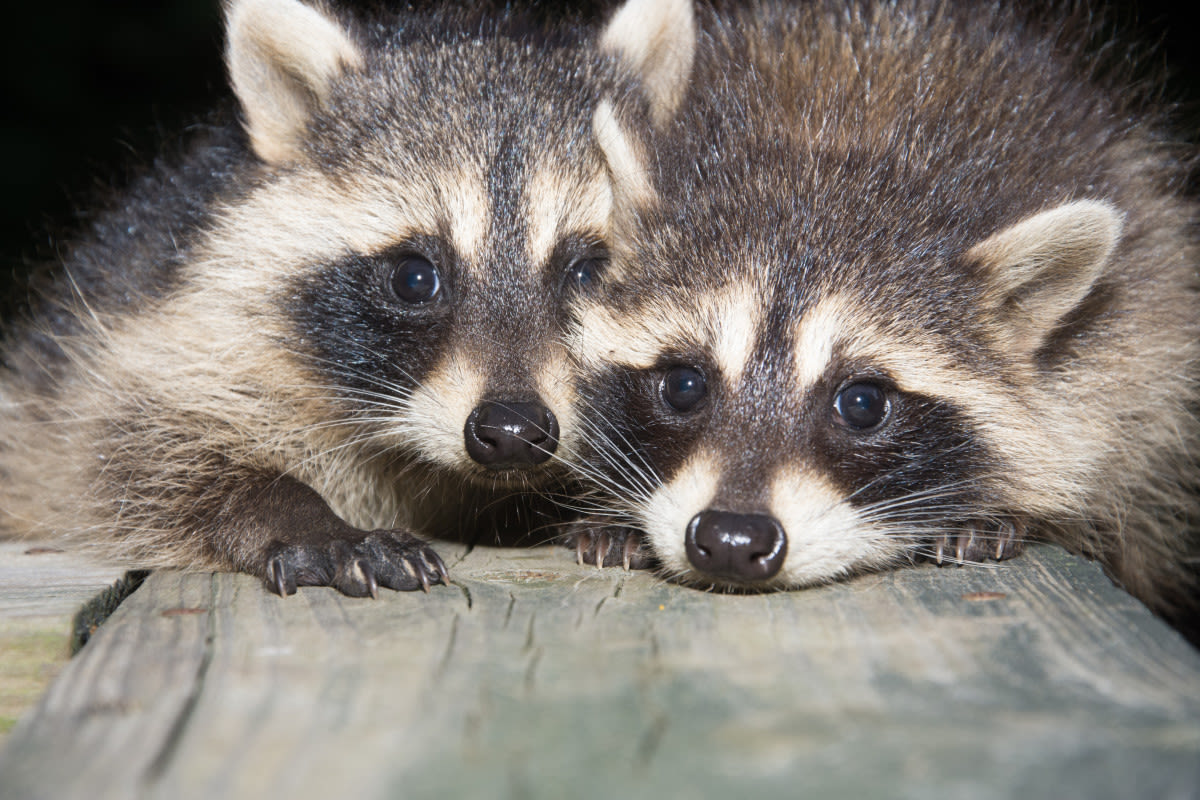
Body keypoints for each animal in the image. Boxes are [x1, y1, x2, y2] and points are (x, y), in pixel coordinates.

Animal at [0, 0, 696, 597]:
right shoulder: (156, 332)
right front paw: (296, 513)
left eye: (588, 273)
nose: (514, 432)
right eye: (414, 277)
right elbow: (132, 452)